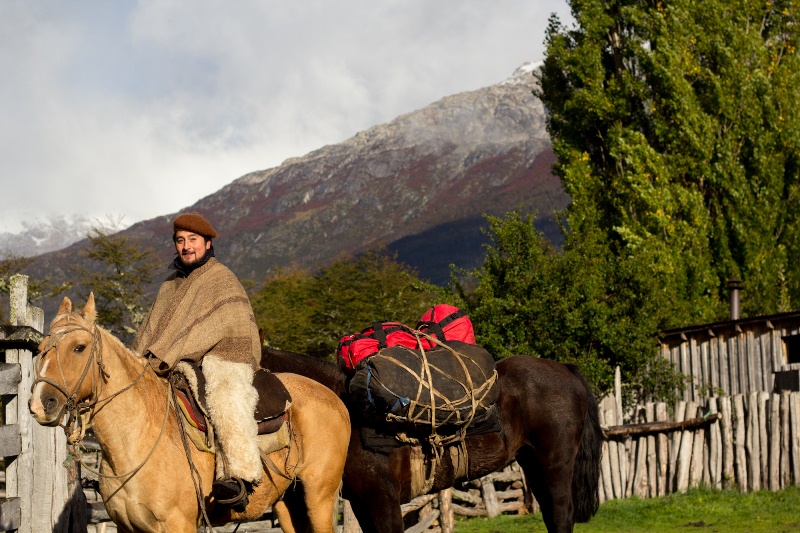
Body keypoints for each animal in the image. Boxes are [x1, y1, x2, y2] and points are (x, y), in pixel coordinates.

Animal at [31, 296, 350, 532]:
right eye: (41, 348)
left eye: (79, 347)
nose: (39, 404)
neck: (136, 440)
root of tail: (336, 400)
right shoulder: (126, 527)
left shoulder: (177, 525)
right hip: (287, 502)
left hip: (319, 498)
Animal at [262, 344, 600, 532]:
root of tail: (565, 369)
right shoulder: (364, 503)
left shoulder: (382, 501)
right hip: (533, 464)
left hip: (555, 464)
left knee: (561, 516)